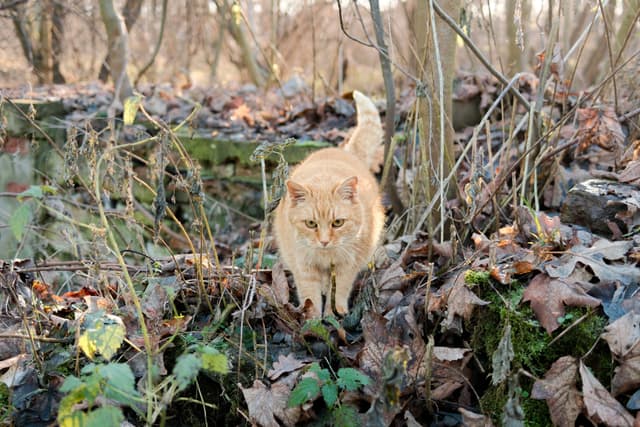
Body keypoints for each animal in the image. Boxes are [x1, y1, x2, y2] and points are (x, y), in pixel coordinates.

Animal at [272, 91, 382, 318]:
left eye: (338, 223)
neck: (325, 254)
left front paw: (333, 315)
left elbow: (338, 292)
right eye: (311, 224)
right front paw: (312, 320)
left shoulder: (347, 266)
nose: (324, 241)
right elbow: (310, 298)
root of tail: (345, 152)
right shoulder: (303, 267)